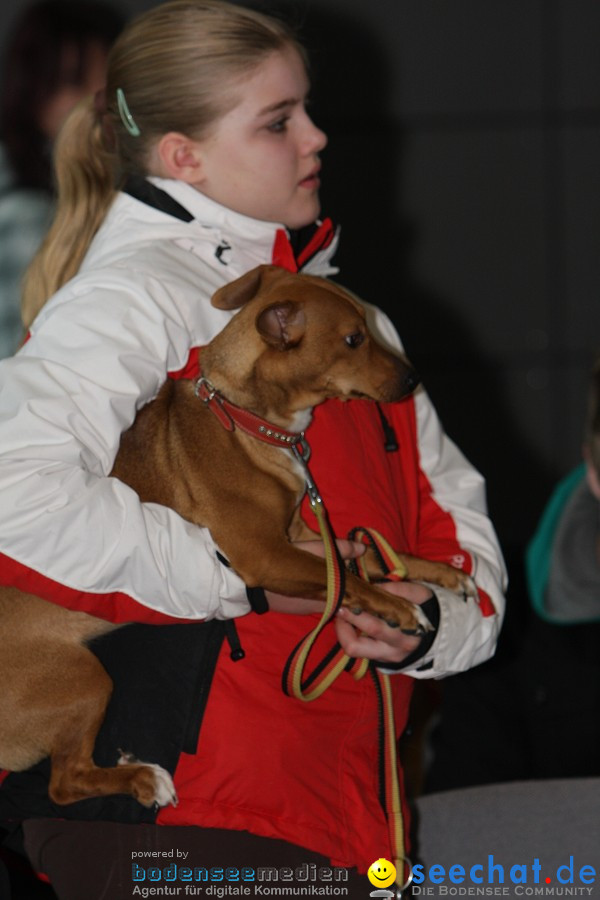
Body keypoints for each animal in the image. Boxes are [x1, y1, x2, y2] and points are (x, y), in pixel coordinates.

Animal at [0, 266, 474, 808]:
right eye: (354, 339)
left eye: (370, 327)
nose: (415, 380)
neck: (248, 423)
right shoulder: (267, 555)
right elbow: (350, 579)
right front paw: (400, 608)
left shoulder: (308, 535)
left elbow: (375, 558)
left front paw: (443, 575)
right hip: (85, 678)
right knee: (64, 783)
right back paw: (144, 778)